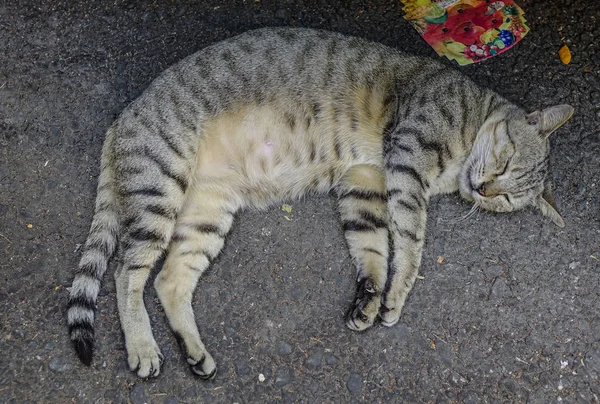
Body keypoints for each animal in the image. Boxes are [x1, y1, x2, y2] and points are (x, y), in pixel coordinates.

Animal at [65, 26, 572, 378]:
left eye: (505, 199)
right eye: (506, 163)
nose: (486, 191)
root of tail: (122, 117)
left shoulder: (364, 180)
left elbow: (372, 246)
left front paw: (370, 298)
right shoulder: (407, 159)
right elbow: (410, 242)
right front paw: (396, 296)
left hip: (206, 214)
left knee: (169, 279)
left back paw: (195, 352)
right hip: (161, 187)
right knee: (126, 272)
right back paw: (143, 347)